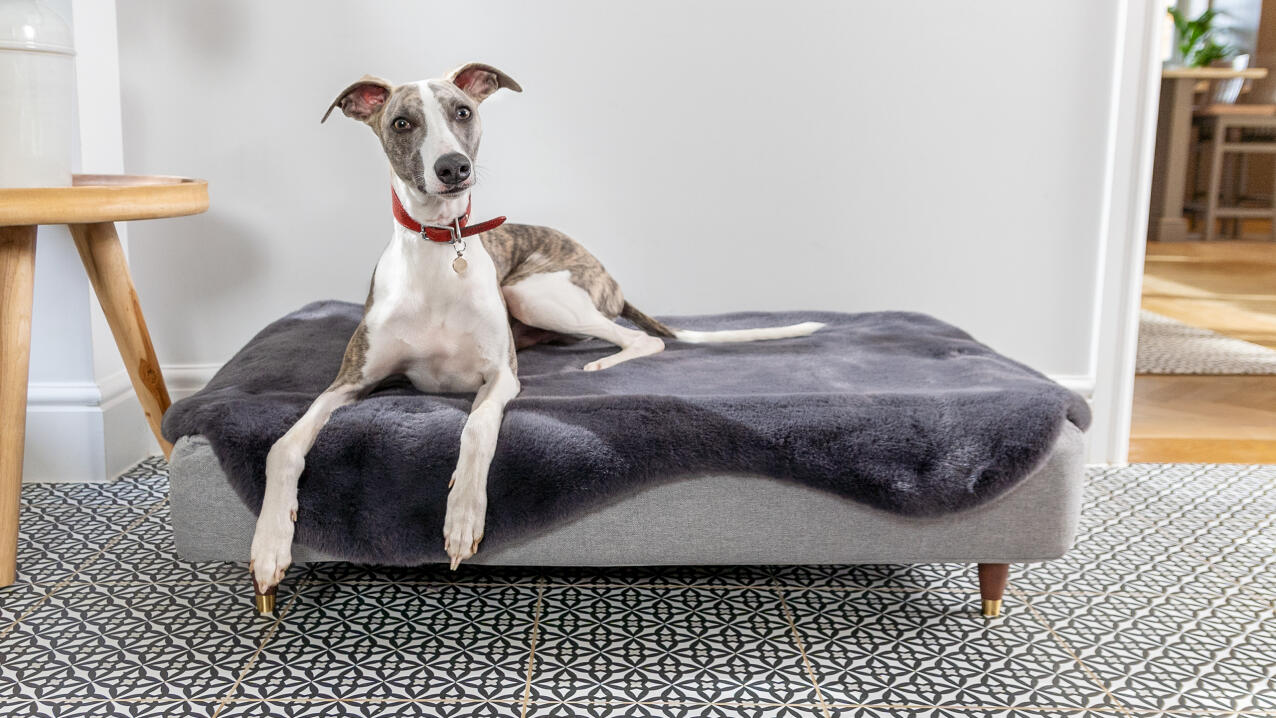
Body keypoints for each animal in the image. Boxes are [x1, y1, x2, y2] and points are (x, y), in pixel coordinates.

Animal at [246, 63, 826, 607]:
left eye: (462, 111)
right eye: (402, 123)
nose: (453, 167)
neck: (440, 248)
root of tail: (606, 275)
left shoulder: (501, 376)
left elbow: (477, 428)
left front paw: (463, 516)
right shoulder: (350, 382)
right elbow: (283, 446)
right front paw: (270, 544)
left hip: (534, 293)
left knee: (642, 339)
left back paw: (601, 362)